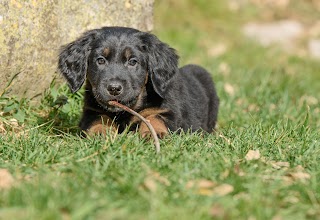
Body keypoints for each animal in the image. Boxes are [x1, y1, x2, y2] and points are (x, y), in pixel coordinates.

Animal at [57, 26, 219, 138]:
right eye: (100, 60)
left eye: (133, 62)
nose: (114, 88)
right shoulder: (91, 111)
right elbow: (99, 119)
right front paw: (101, 133)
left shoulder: (168, 112)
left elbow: (153, 118)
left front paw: (153, 133)